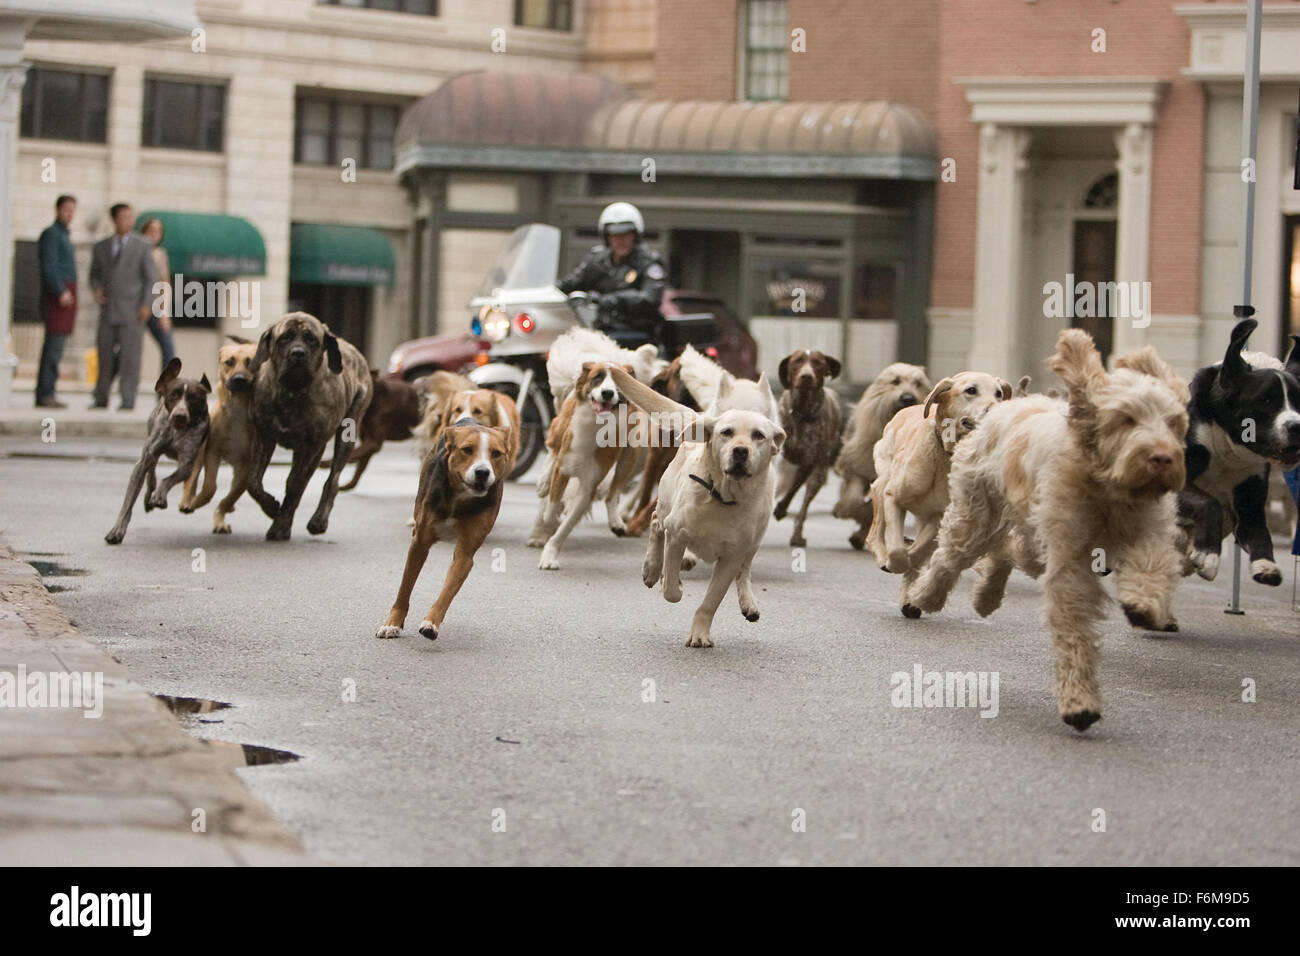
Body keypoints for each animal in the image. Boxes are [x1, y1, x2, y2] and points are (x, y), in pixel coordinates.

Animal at [245, 312, 374, 538]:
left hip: (346, 436)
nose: (298, 353)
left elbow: (295, 484)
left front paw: (280, 524)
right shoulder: (264, 436)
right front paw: (270, 506)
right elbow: (253, 481)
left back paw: (318, 520)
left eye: (312, 339)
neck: (292, 391)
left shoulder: (311, 446)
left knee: (332, 481)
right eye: (285, 337)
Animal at [374, 408, 514, 639]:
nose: (483, 472)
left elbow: (447, 591)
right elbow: (405, 587)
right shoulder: (419, 543)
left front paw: (431, 622)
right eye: (467, 450)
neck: (460, 498)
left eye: (496, 453)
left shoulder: (465, 554)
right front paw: (392, 623)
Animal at [868, 369, 1008, 608]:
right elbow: (896, 550)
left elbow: (918, 552)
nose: (996, 410)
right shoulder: (893, 498)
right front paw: (895, 561)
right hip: (882, 483)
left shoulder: (939, 517)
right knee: (875, 531)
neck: (944, 453)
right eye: (971, 390)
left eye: (998, 393)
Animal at [904, 329, 1190, 733]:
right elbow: (1073, 626)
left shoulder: (1146, 531)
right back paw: (924, 596)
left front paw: (1145, 606)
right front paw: (1079, 702)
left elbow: (1154, 564)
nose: (1163, 458)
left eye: (1174, 422)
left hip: (1028, 531)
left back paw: (987, 595)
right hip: (979, 514)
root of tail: (1002, 409)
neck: (1106, 486)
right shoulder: (1070, 560)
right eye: (1127, 419)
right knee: (955, 554)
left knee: (1007, 549)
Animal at [1180, 319, 1300, 582]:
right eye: (1266, 400)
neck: (1229, 450)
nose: (1297, 426)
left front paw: (1265, 564)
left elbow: (1259, 530)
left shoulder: (1250, 497)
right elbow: (1208, 502)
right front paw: (1209, 557)